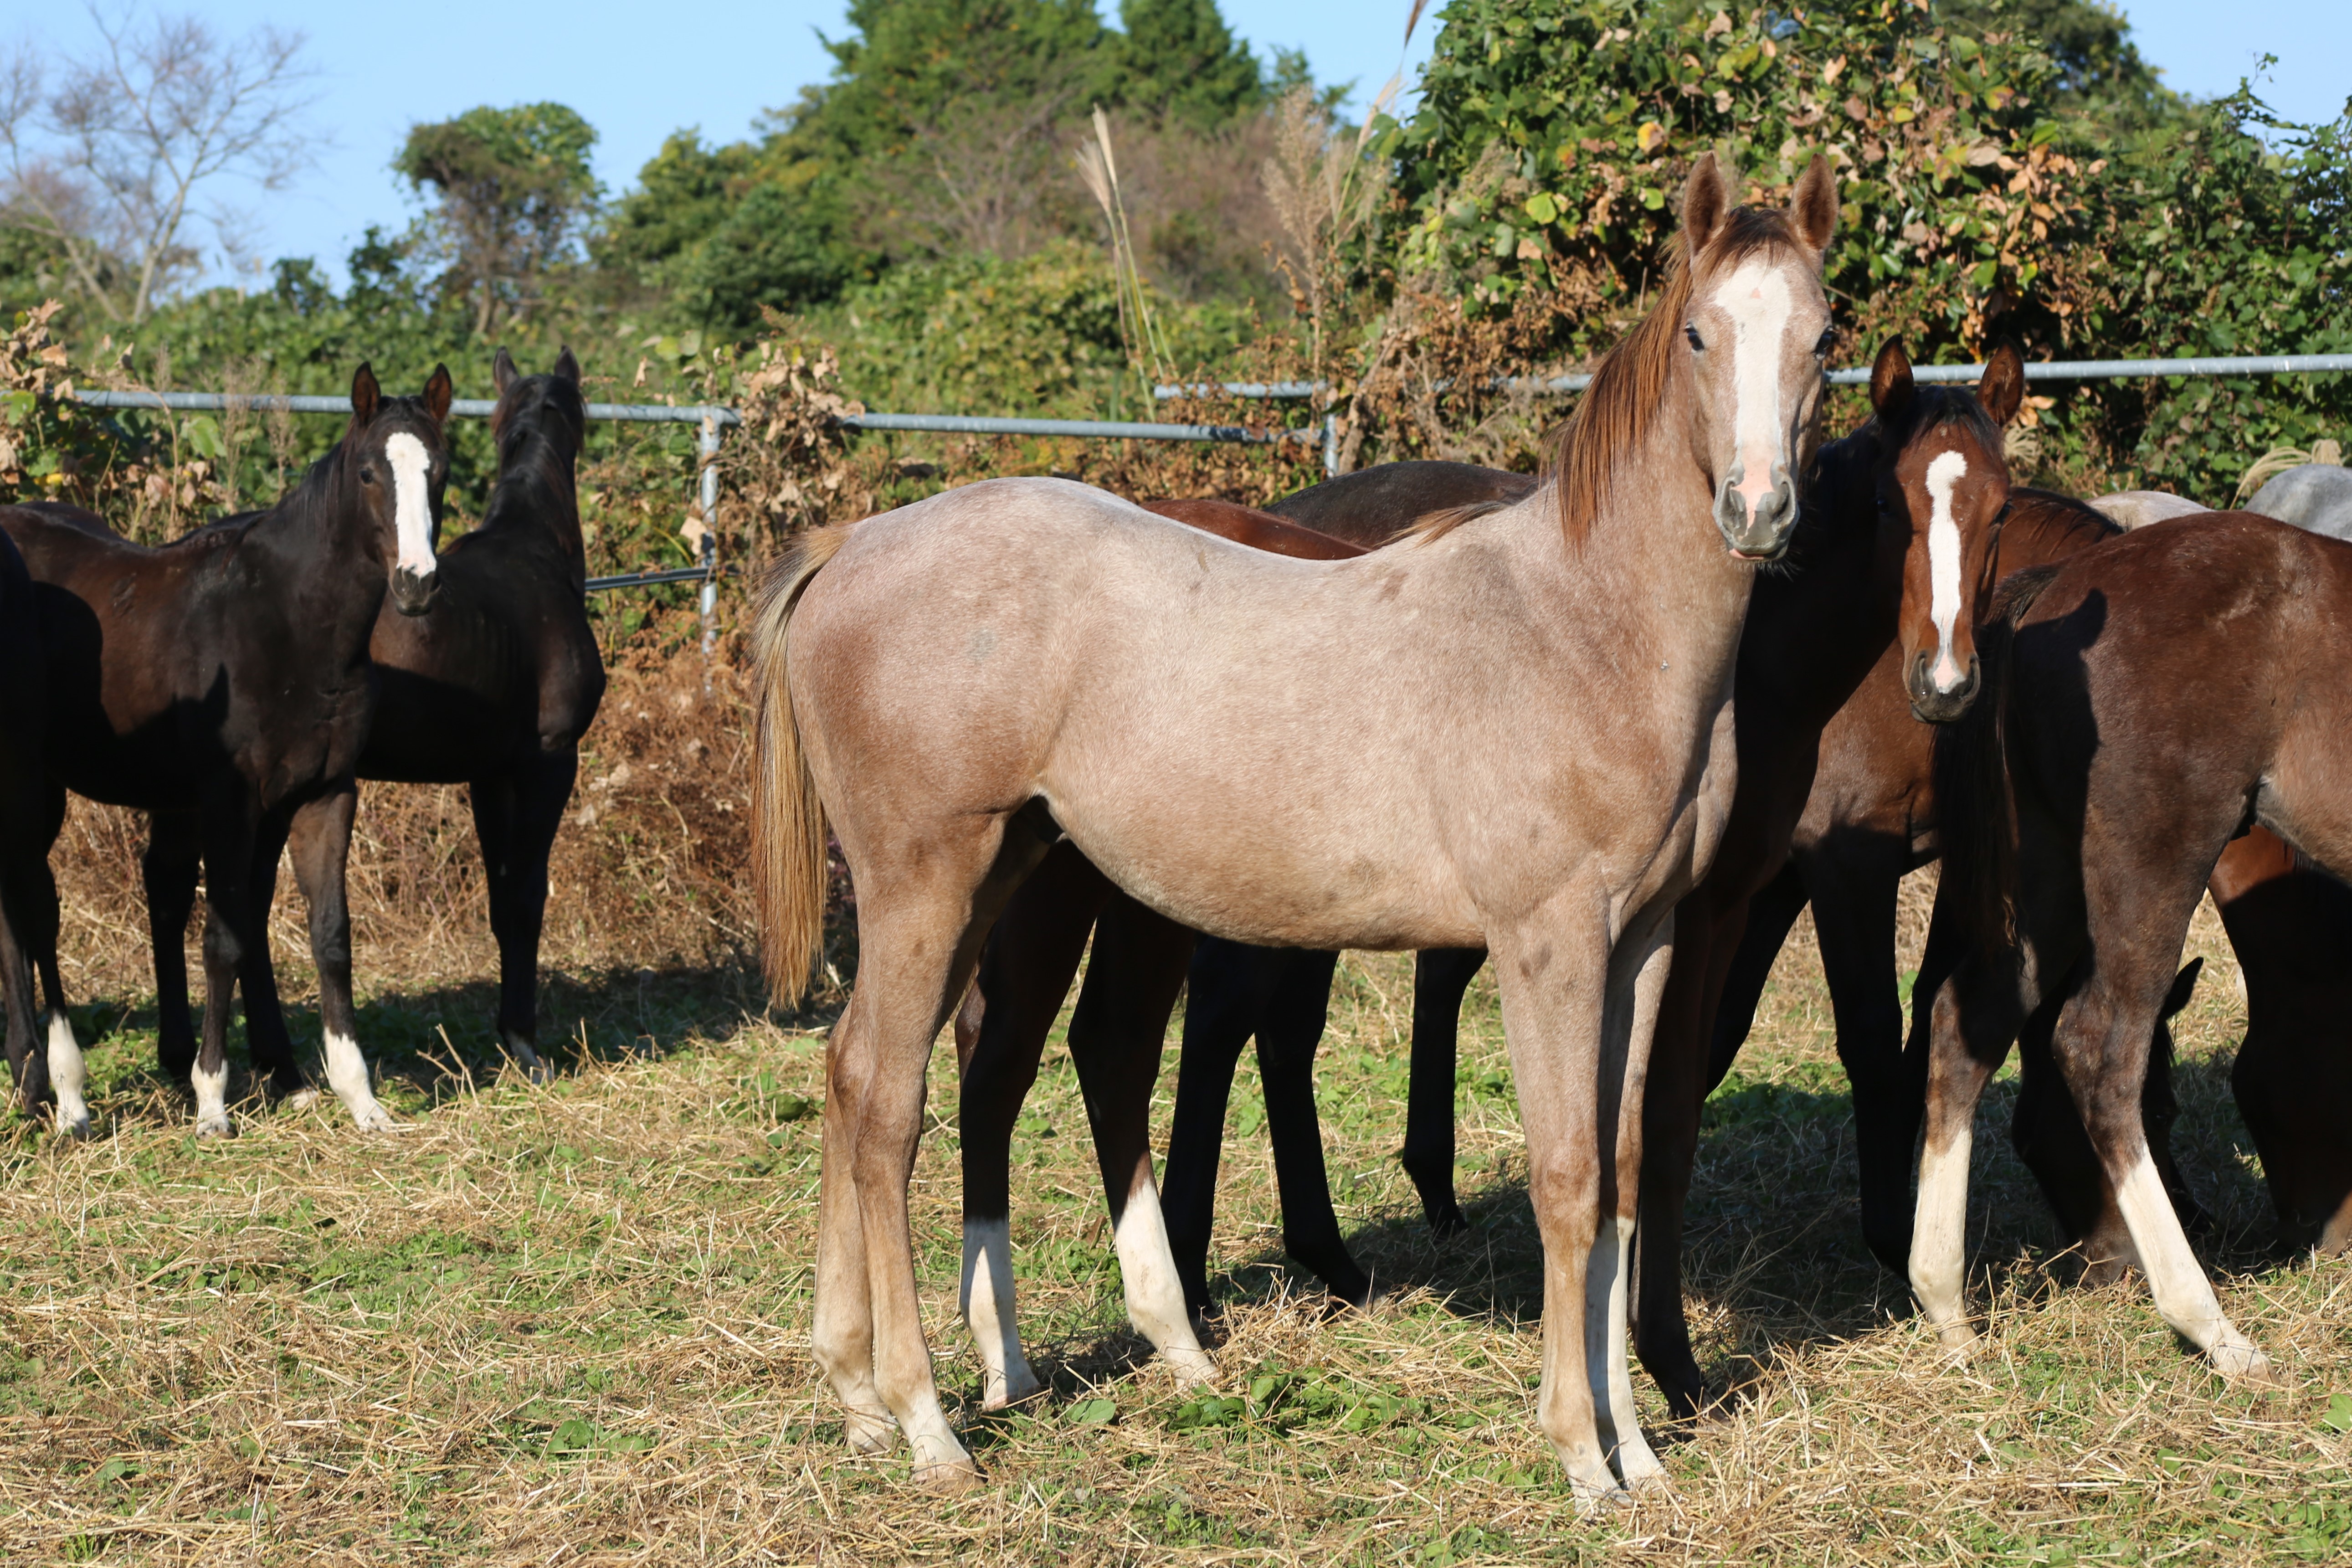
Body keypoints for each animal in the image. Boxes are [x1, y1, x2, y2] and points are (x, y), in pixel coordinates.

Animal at [0, 362, 449, 1133]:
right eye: (368, 473)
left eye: (439, 471)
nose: (416, 583)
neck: (287, 625)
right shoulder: (229, 802)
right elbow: (225, 938)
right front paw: (212, 1098)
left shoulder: (322, 796)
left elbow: (329, 935)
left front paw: (356, 1095)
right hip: (27, 784)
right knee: (31, 909)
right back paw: (54, 1087)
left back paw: (31, 1077)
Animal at [752, 156, 1834, 1495]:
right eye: (1697, 334)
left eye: (1822, 337)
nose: (1757, 510)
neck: (1580, 626)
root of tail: (852, 543)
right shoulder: (1547, 943)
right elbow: (1569, 1176)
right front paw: (1582, 1458)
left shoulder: (1643, 941)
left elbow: (1625, 1174)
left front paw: (1638, 1454)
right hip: (928, 883)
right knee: (891, 1102)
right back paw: (925, 1423)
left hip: (999, 874)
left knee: (857, 1073)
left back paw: (859, 1395)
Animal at [1910, 510, 2352, 1382]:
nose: (2327, 1238)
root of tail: (2056, 589)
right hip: (2155, 859)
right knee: (2098, 1048)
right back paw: (2210, 1326)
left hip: (2048, 884)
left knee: (1963, 1027)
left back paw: (1948, 1312)